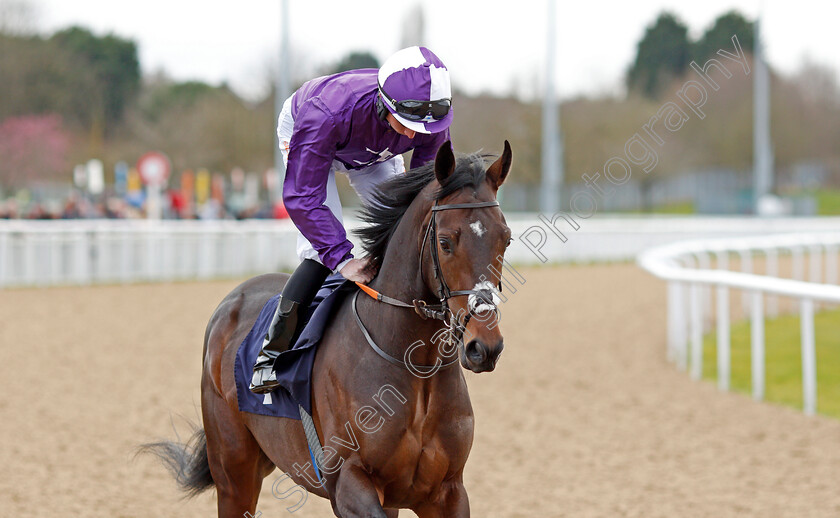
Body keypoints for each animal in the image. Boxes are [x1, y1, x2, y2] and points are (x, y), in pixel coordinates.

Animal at [144, 142, 512, 518]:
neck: (413, 364)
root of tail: (234, 297)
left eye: (506, 239)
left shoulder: (446, 491)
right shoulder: (348, 481)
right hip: (233, 469)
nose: (485, 347)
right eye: (446, 242)